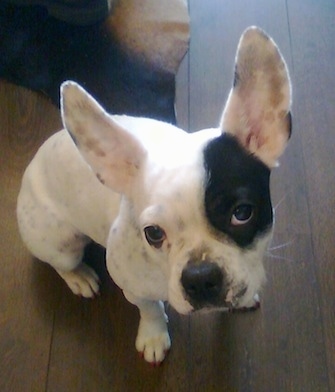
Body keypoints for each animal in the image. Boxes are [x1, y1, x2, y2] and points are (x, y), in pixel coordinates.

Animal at [17, 26, 292, 364]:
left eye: (242, 213)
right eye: (153, 234)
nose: (200, 276)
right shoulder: (134, 287)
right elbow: (149, 309)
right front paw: (153, 336)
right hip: (59, 242)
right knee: (61, 262)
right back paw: (79, 276)